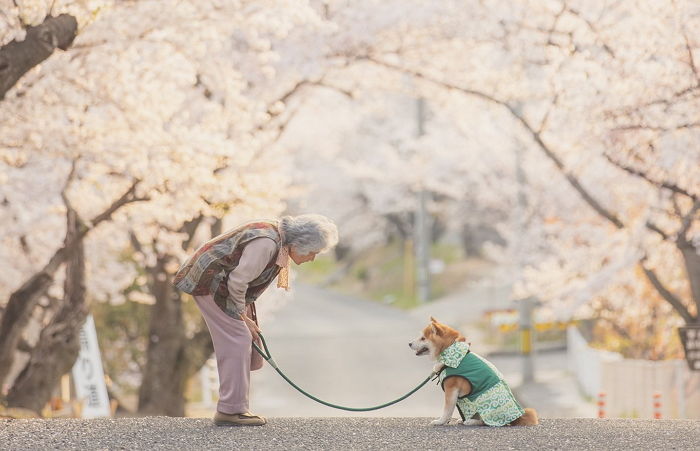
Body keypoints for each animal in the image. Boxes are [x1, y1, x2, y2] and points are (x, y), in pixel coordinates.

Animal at [408, 318, 540, 428]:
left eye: (423, 338)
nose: (409, 343)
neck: (450, 351)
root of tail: (517, 417)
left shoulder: (451, 388)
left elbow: (447, 410)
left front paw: (440, 421)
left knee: (485, 422)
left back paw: (470, 421)